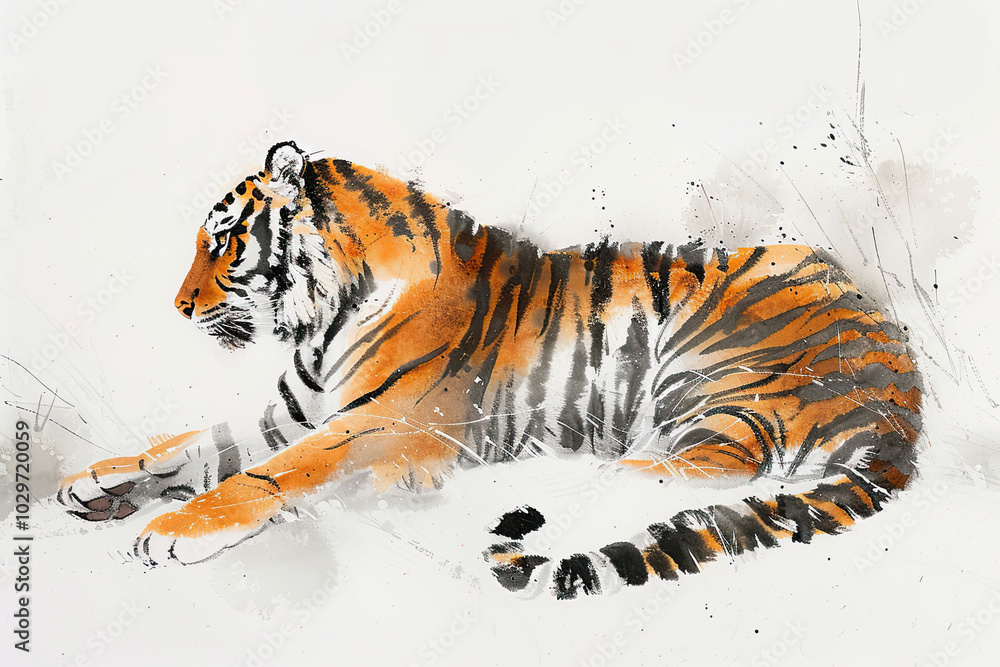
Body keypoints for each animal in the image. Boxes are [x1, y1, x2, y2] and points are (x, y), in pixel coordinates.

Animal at [58, 140, 921, 599]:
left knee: (703, 467)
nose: (177, 305)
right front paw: (95, 481)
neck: (322, 320)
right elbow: (195, 441)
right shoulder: (293, 411)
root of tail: (902, 396)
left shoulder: (376, 423)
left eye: (224, 241)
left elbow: (266, 474)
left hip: (713, 364)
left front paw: (168, 530)